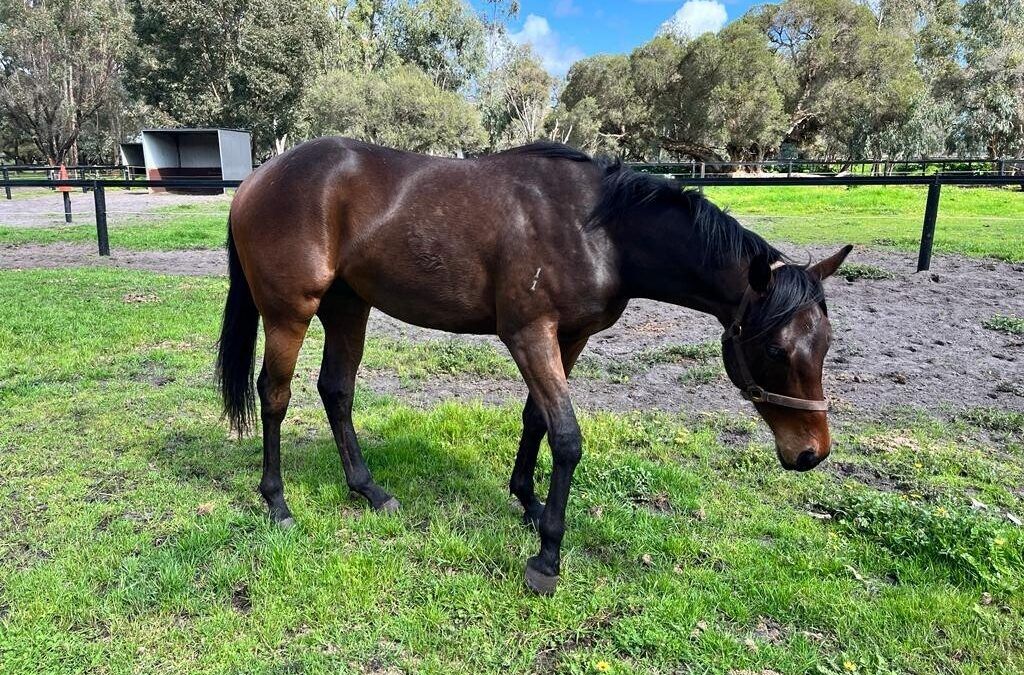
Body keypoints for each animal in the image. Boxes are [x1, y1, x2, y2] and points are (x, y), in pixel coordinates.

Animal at [211, 137, 851, 598]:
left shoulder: (568, 338)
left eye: (824, 344)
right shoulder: (530, 335)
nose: (811, 453)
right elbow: (566, 437)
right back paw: (277, 504)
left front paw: (528, 502)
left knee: (336, 391)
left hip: (349, 306)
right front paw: (547, 557)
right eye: (775, 351)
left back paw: (369, 490)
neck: (598, 231)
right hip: (290, 312)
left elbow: (536, 421)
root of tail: (256, 181)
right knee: (275, 395)